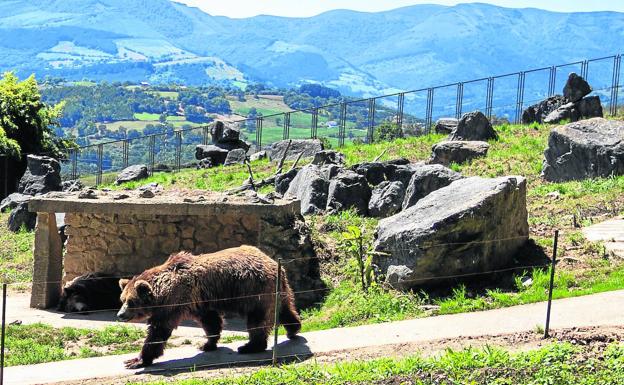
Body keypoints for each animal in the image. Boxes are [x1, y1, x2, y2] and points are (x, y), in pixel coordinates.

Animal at [119, 244, 302, 368]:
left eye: (131, 302)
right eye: (122, 299)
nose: (120, 315)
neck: (162, 288)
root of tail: (274, 263)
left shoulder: (176, 300)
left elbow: (158, 330)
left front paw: (137, 360)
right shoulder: (200, 301)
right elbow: (210, 321)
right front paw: (207, 344)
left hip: (256, 291)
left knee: (258, 320)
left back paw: (249, 346)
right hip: (278, 290)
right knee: (285, 309)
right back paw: (293, 328)